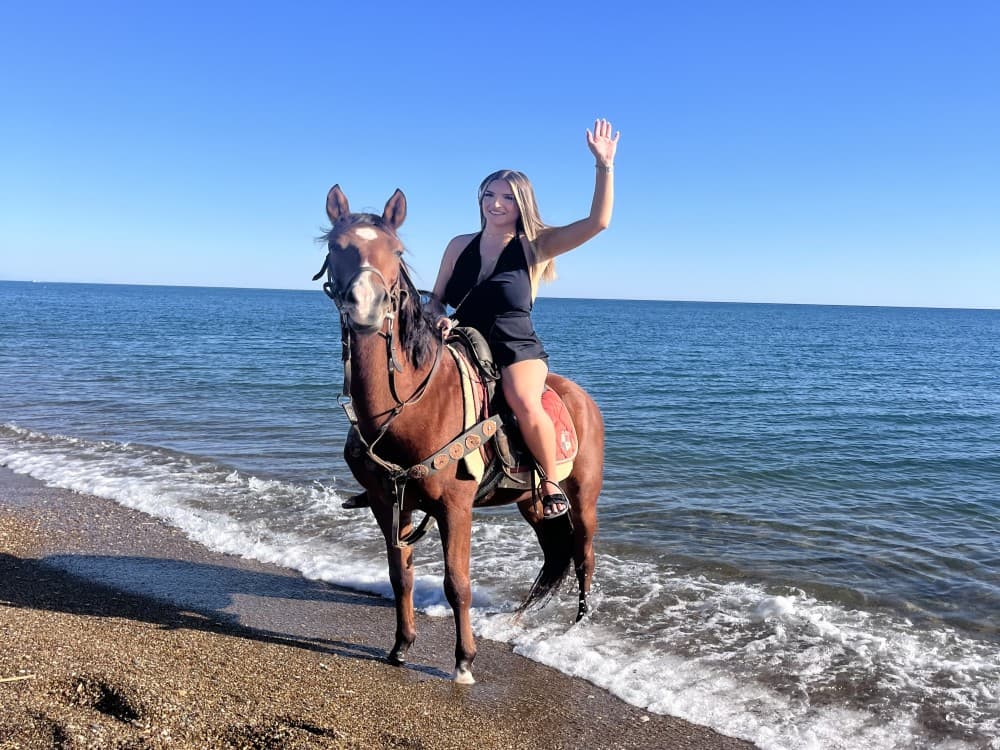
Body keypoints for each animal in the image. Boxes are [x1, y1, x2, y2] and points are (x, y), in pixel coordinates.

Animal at [316, 185, 604, 684]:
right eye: (337, 248)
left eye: (396, 251)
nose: (367, 304)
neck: (413, 406)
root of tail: (583, 399)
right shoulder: (386, 502)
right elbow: (401, 576)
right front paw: (401, 645)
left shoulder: (455, 507)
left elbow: (458, 584)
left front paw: (464, 660)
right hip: (531, 502)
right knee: (554, 549)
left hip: (583, 495)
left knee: (584, 556)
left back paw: (577, 629)